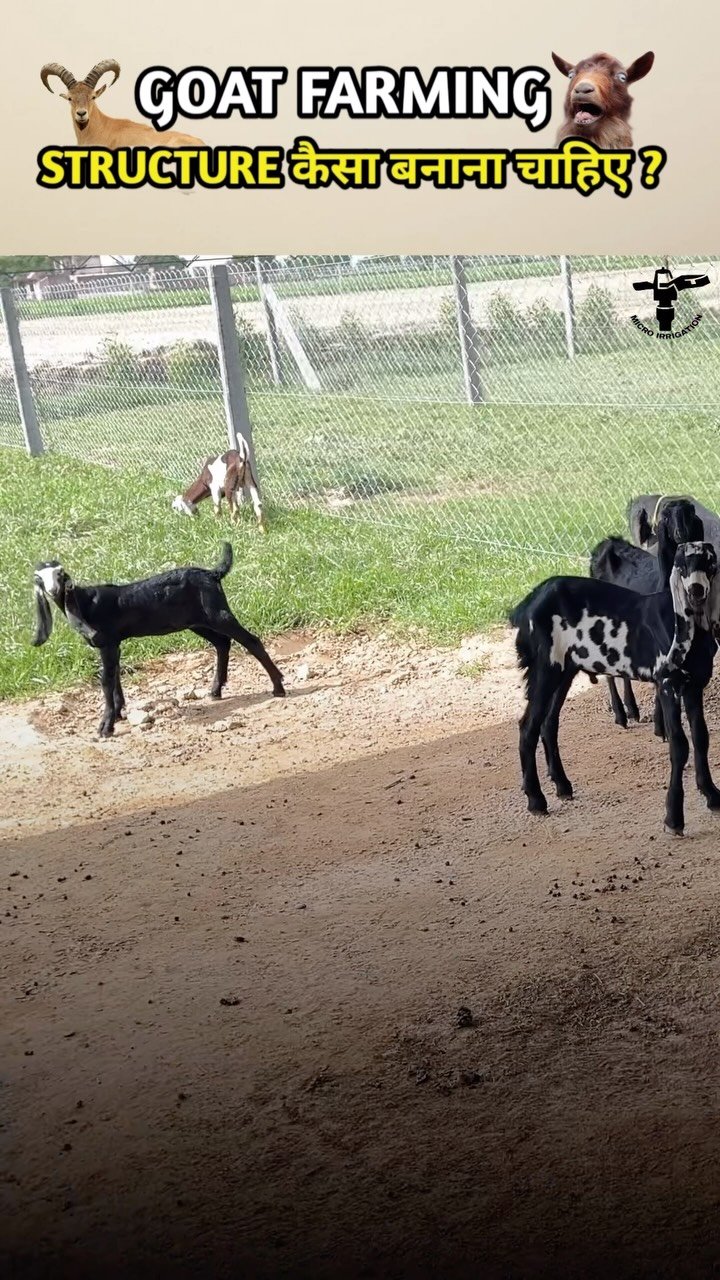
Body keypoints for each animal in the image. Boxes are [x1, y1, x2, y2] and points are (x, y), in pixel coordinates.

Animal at [31, 544, 285, 738]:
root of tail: (212, 574)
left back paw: (278, 687)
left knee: (251, 641)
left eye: (60, 574)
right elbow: (115, 676)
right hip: (197, 622)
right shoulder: (114, 645)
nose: (53, 590)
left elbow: (106, 680)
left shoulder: (107, 642)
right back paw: (215, 690)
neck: (85, 602)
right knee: (222, 643)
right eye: (39, 578)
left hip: (217, 613)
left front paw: (106, 726)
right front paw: (119, 712)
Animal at [510, 541, 720, 834]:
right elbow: (679, 744)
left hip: (565, 671)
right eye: (681, 565)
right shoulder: (667, 684)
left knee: (549, 723)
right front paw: (674, 818)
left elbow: (701, 738)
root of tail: (527, 604)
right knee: (528, 727)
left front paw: (712, 795)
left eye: (710, 562)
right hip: (544, 669)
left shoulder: (694, 686)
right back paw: (536, 799)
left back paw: (562, 785)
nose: (696, 590)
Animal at [590, 498, 705, 734]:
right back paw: (620, 715)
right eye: (666, 517)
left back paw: (632, 709)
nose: (681, 533)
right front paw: (662, 728)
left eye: (690, 512)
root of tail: (606, 545)